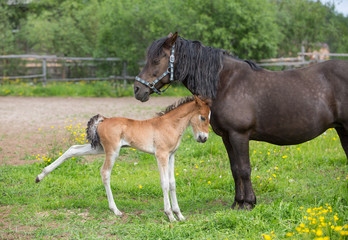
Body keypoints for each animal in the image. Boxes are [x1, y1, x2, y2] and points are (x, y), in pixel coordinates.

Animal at [35, 95, 209, 221]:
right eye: (202, 117)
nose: (204, 138)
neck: (169, 125)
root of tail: (103, 119)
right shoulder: (161, 155)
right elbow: (164, 183)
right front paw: (170, 216)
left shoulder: (171, 155)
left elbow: (172, 183)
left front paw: (180, 215)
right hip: (112, 151)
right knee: (105, 172)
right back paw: (116, 210)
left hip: (99, 148)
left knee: (73, 149)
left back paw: (40, 176)